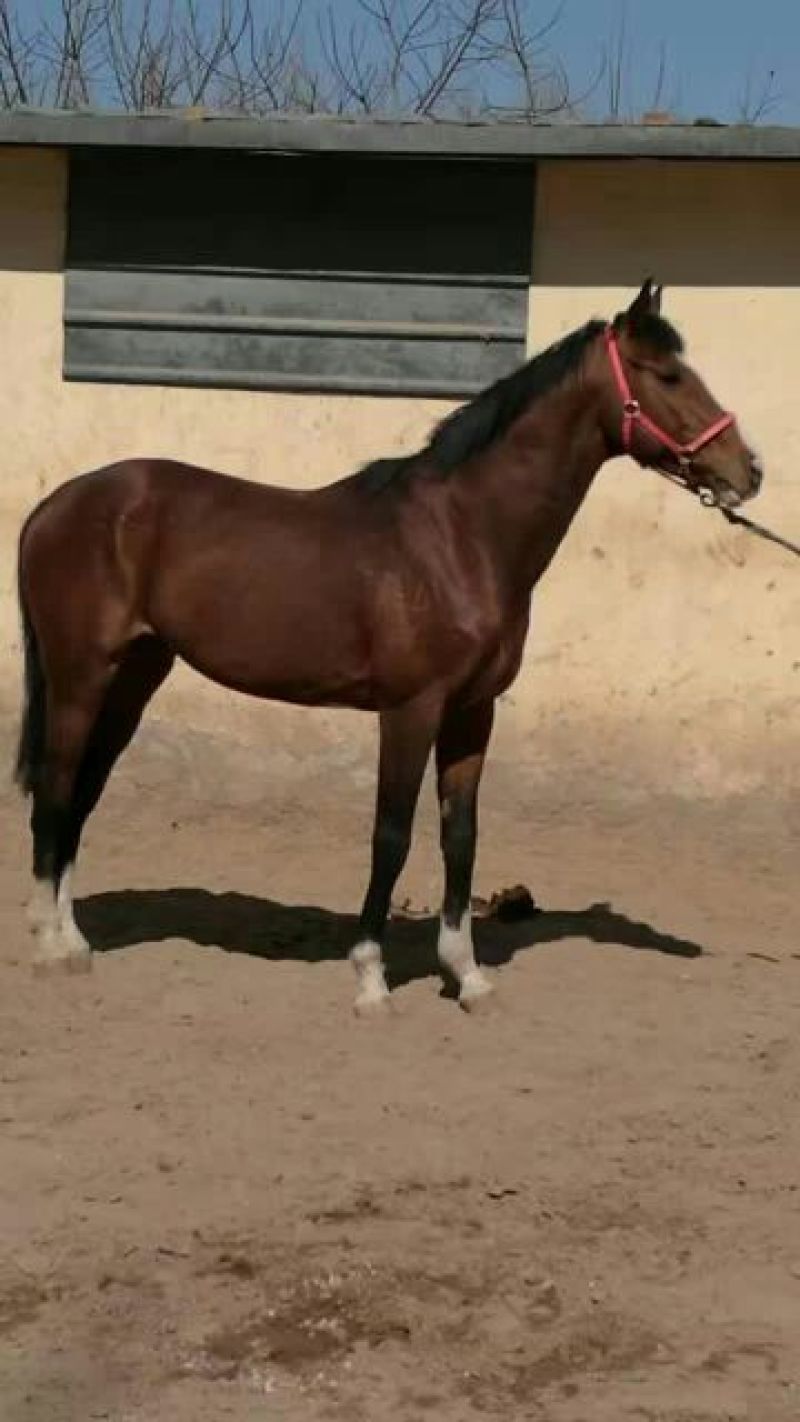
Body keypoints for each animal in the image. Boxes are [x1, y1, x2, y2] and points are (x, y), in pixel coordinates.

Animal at [14, 280, 762, 1013]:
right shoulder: (410, 709)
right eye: (668, 374)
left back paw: (74, 942)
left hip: (135, 676)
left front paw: (467, 975)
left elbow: (460, 835)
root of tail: (56, 504)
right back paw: (49, 947)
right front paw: (371, 976)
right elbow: (392, 833)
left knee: (83, 793)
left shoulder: (472, 712)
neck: (461, 536)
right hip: (81, 676)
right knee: (56, 788)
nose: (747, 470)